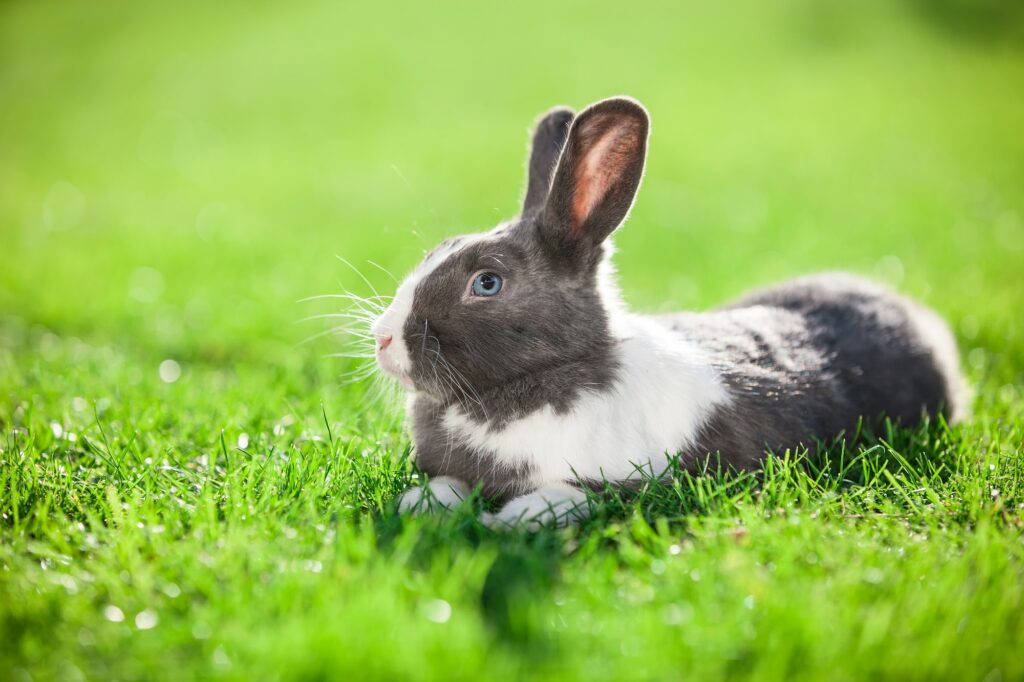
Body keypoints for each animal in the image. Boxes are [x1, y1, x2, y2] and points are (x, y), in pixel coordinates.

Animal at [368, 96, 966, 524]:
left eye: (487, 283)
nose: (383, 339)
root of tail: (914, 316)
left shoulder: (624, 481)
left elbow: (566, 496)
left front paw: (513, 519)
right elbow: (444, 487)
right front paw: (422, 505)